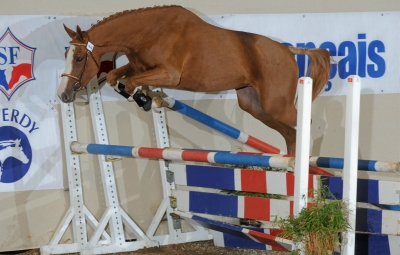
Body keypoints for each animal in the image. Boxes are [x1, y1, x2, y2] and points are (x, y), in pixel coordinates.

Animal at [57, 4, 330, 154]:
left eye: (79, 57)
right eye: (66, 55)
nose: (63, 94)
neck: (147, 33)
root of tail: (288, 50)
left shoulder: (170, 74)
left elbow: (133, 83)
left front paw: (148, 100)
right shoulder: (138, 66)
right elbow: (116, 76)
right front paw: (150, 98)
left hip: (276, 104)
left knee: (304, 123)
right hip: (254, 105)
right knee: (290, 134)